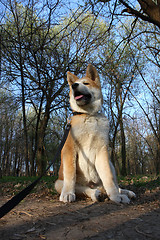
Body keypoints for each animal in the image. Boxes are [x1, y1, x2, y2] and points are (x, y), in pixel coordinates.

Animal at [54, 64, 136, 203]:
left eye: (86, 83)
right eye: (73, 84)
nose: (74, 85)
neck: (89, 115)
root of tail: (94, 185)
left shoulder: (102, 151)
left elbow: (108, 177)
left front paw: (116, 196)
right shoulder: (69, 149)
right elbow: (70, 175)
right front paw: (67, 193)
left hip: (111, 164)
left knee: (111, 184)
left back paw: (123, 192)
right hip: (58, 183)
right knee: (82, 189)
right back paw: (94, 193)